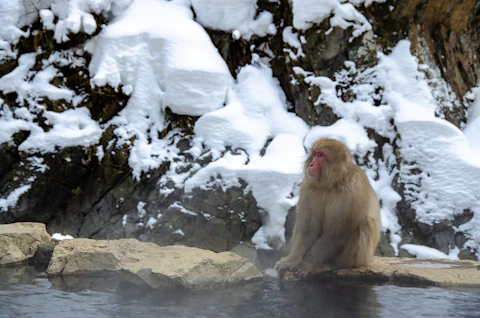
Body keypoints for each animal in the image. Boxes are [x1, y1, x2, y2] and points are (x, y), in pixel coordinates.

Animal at [276, 138, 380, 278]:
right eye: (315, 154)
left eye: (321, 155)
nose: (311, 164)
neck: (331, 183)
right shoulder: (308, 188)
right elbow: (308, 230)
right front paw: (290, 261)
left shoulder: (352, 192)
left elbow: (335, 234)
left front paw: (306, 265)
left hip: (359, 259)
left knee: (365, 222)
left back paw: (330, 265)